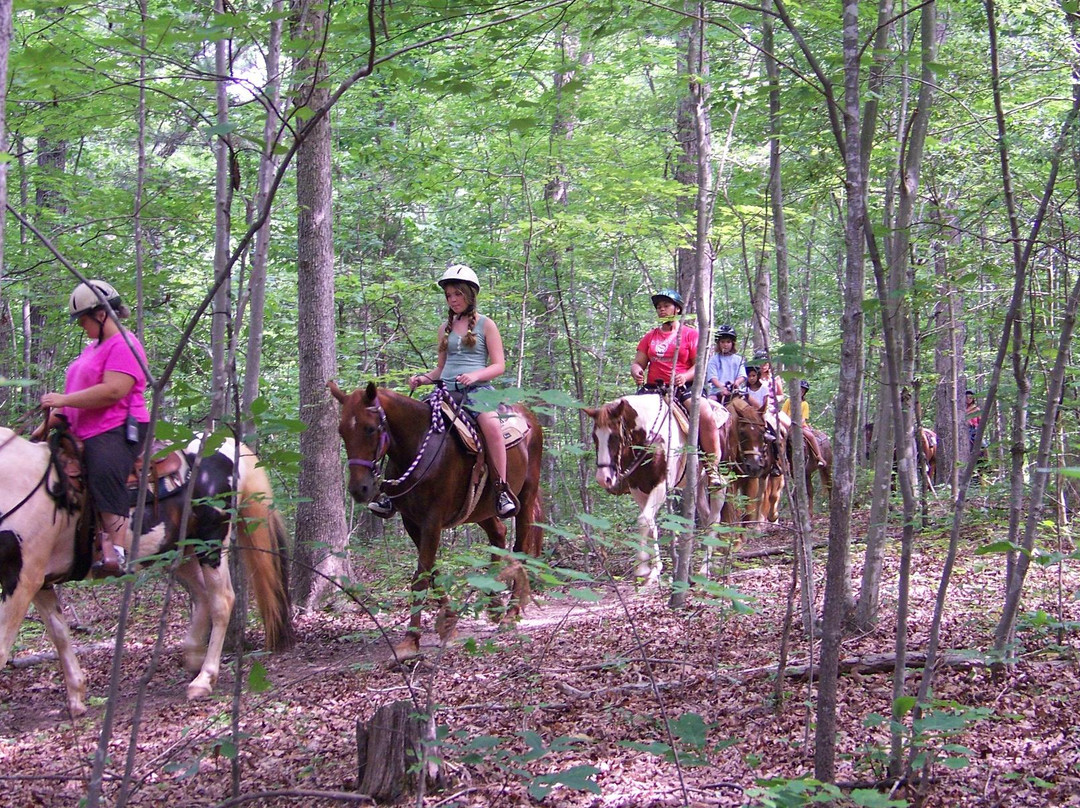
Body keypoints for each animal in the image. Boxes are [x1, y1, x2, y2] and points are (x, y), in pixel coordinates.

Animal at [0, 425, 295, 717]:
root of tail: (229, 445)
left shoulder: (23, 578)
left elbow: (3, 646)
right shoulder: (40, 582)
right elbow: (59, 633)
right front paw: (76, 698)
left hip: (211, 540)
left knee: (221, 600)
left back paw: (204, 679)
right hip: (176, 549)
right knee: (202, 595)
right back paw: (193, 656)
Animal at [326, 380, 548, 661]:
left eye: (370, 428)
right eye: (341, 432)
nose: (359, 489)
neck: (418, 446)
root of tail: (528, 416)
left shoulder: (432, 521)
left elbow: (421, 577)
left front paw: (410, 641)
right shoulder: (412, 522)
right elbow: (431, 572)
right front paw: (450, 623)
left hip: (526, 497)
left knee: (521, 549)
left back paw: (510, 614)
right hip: (479, 508)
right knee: (498, 534)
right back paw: (493, 604)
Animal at [583, 395, 725, 583]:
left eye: (614, 437)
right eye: (595, 437)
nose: (602, 478)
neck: (650, 437)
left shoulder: (661, 485)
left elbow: (644, 520)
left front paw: (642, 567)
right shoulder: (637, 488)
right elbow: (651, 524)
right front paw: (654, 569)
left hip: (718, 477)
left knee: (715, 515)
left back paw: (704, 568)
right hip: (698, 484)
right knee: (706, 515)